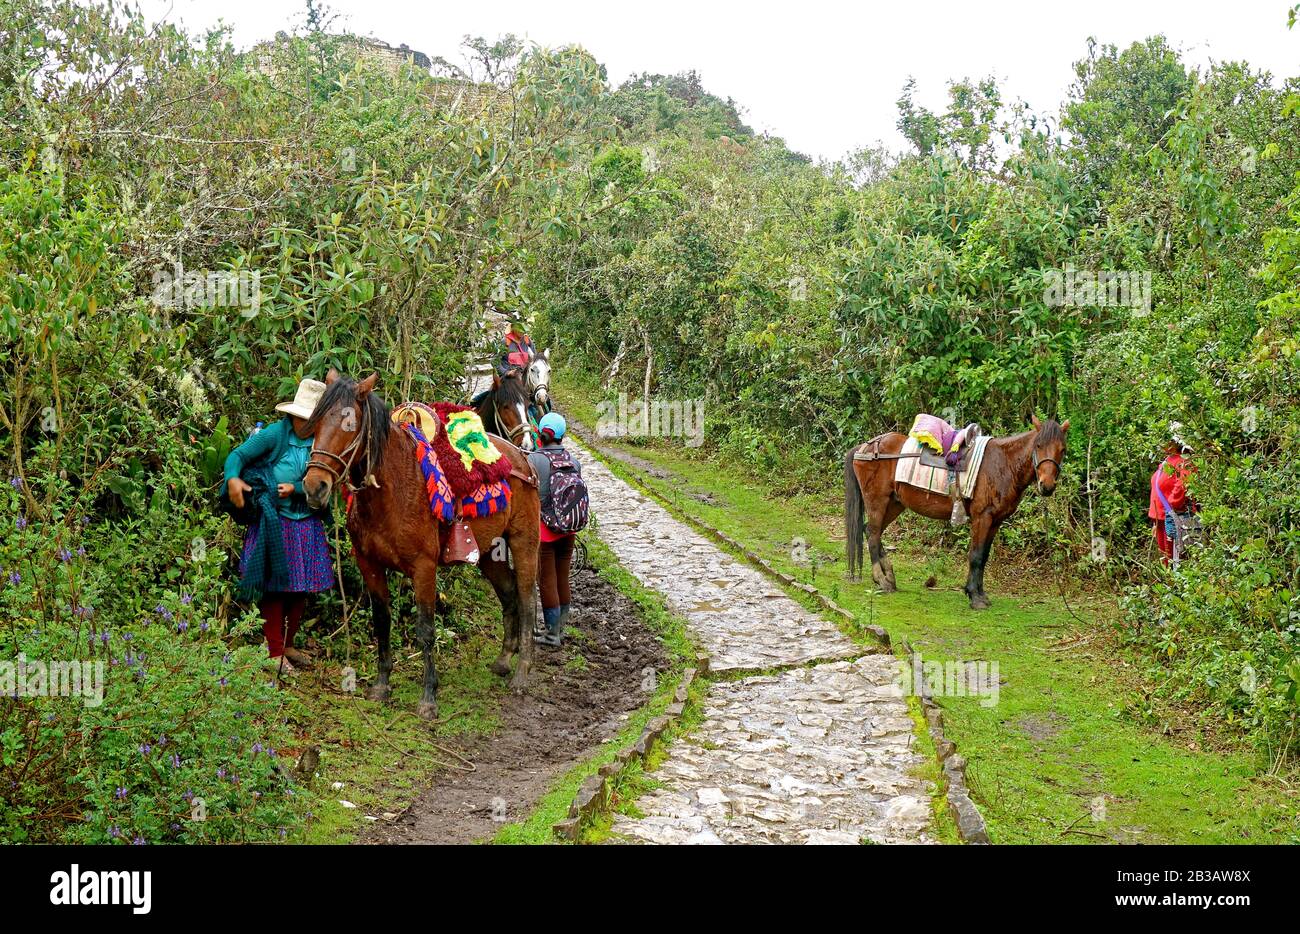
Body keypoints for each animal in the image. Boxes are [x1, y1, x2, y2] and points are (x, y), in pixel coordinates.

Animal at [301, 369, 540, 723]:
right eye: (316, 422)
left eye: (349, 426)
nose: (315, 486)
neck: (392, 489)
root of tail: (522, 460)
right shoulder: (370, 564)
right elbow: (382, 622)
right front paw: (381, 685)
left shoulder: (424, 568)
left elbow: (426, 629)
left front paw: (429, 697)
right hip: (488, 553)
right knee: (509, 594)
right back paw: (503, 660)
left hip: (525, 542)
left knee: (526, 600)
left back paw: (523, 672)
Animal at [847, 418, 1071, 611]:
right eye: (1038, 445)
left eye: (1062, 450)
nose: (1047, 486)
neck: (1002, 464)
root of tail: (865, 448)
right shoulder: (982, 517)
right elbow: (976, 555)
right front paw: (974, 596)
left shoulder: (995, 522)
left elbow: (984, 556)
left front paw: (980, 594)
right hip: (877, 501)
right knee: (873, 533)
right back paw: (881, 580)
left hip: (894, 504)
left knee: (871, 531)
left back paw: (889, 578)